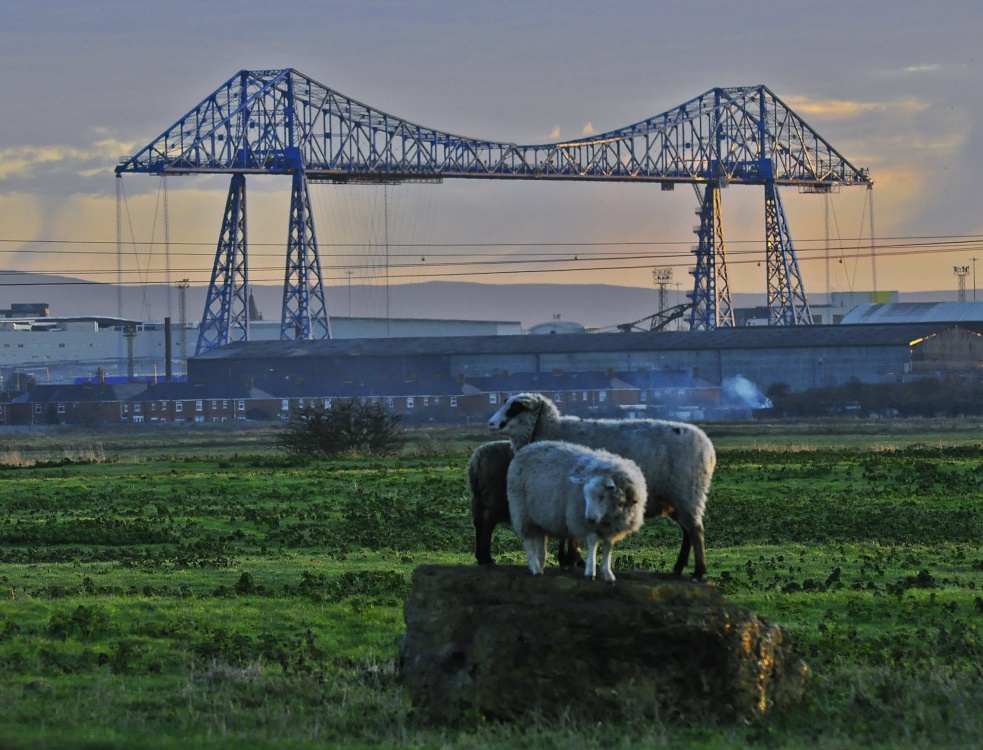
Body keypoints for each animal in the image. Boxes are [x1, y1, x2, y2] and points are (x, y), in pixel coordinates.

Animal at [468, 440, 584, 568]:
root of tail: (477, 459)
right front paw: (572, 559)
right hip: (495, 498)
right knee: (487, 522)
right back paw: (486, 559)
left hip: (479, 499)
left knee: (478, 521)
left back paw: (480, 557)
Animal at [508, 440, 644, 588]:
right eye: (585, 495)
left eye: (602, 496)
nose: (590, 518)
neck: (606, 515)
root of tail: (530, 446)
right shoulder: (583, 522)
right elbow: (592, 542)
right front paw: (590, 572)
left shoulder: (612, 527)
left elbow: (608, 547)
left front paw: (608, 574)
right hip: (521, 512)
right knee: (528, 541)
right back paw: (535, 568)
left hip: (539, 517)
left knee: (541, 538)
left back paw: (541, 564)